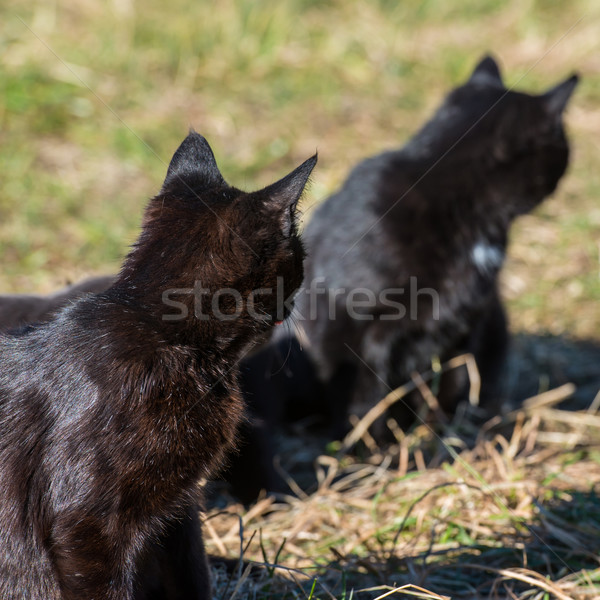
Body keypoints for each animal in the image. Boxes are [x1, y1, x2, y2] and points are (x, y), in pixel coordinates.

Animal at [284, 55, 580, 440]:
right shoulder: (364, 324)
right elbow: (366, 395)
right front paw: (371, 445)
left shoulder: (464, 322)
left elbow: (456, 380)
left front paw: (446, 433)